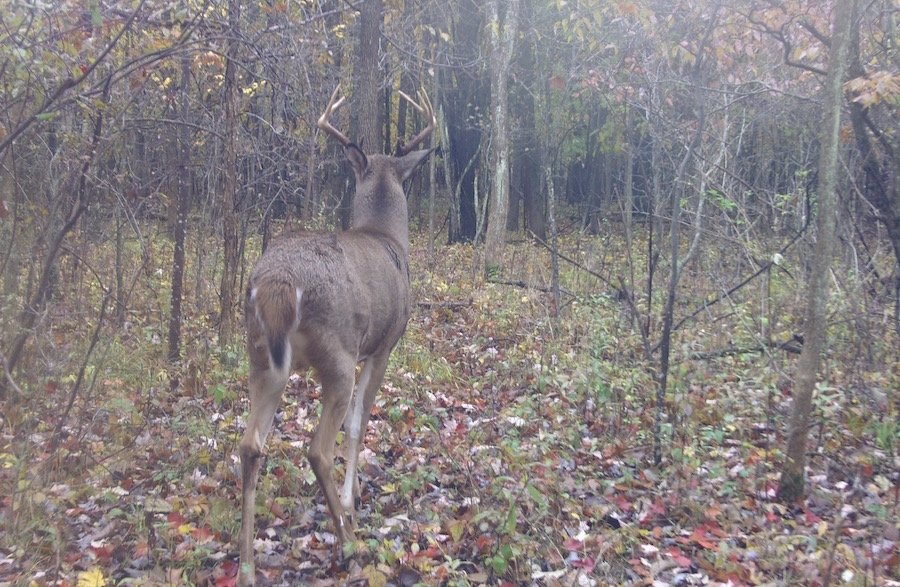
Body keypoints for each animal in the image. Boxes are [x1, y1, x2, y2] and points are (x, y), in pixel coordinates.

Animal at [237, 85, 438, 584]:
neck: (387, 237)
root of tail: (279, 281)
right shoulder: (383, 345)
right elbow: (359, 421)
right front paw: (352, 501)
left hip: (260, 355)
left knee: (250, 445)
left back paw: (247, 565)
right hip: (337, 355)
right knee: (317, 450)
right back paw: (349, 543)